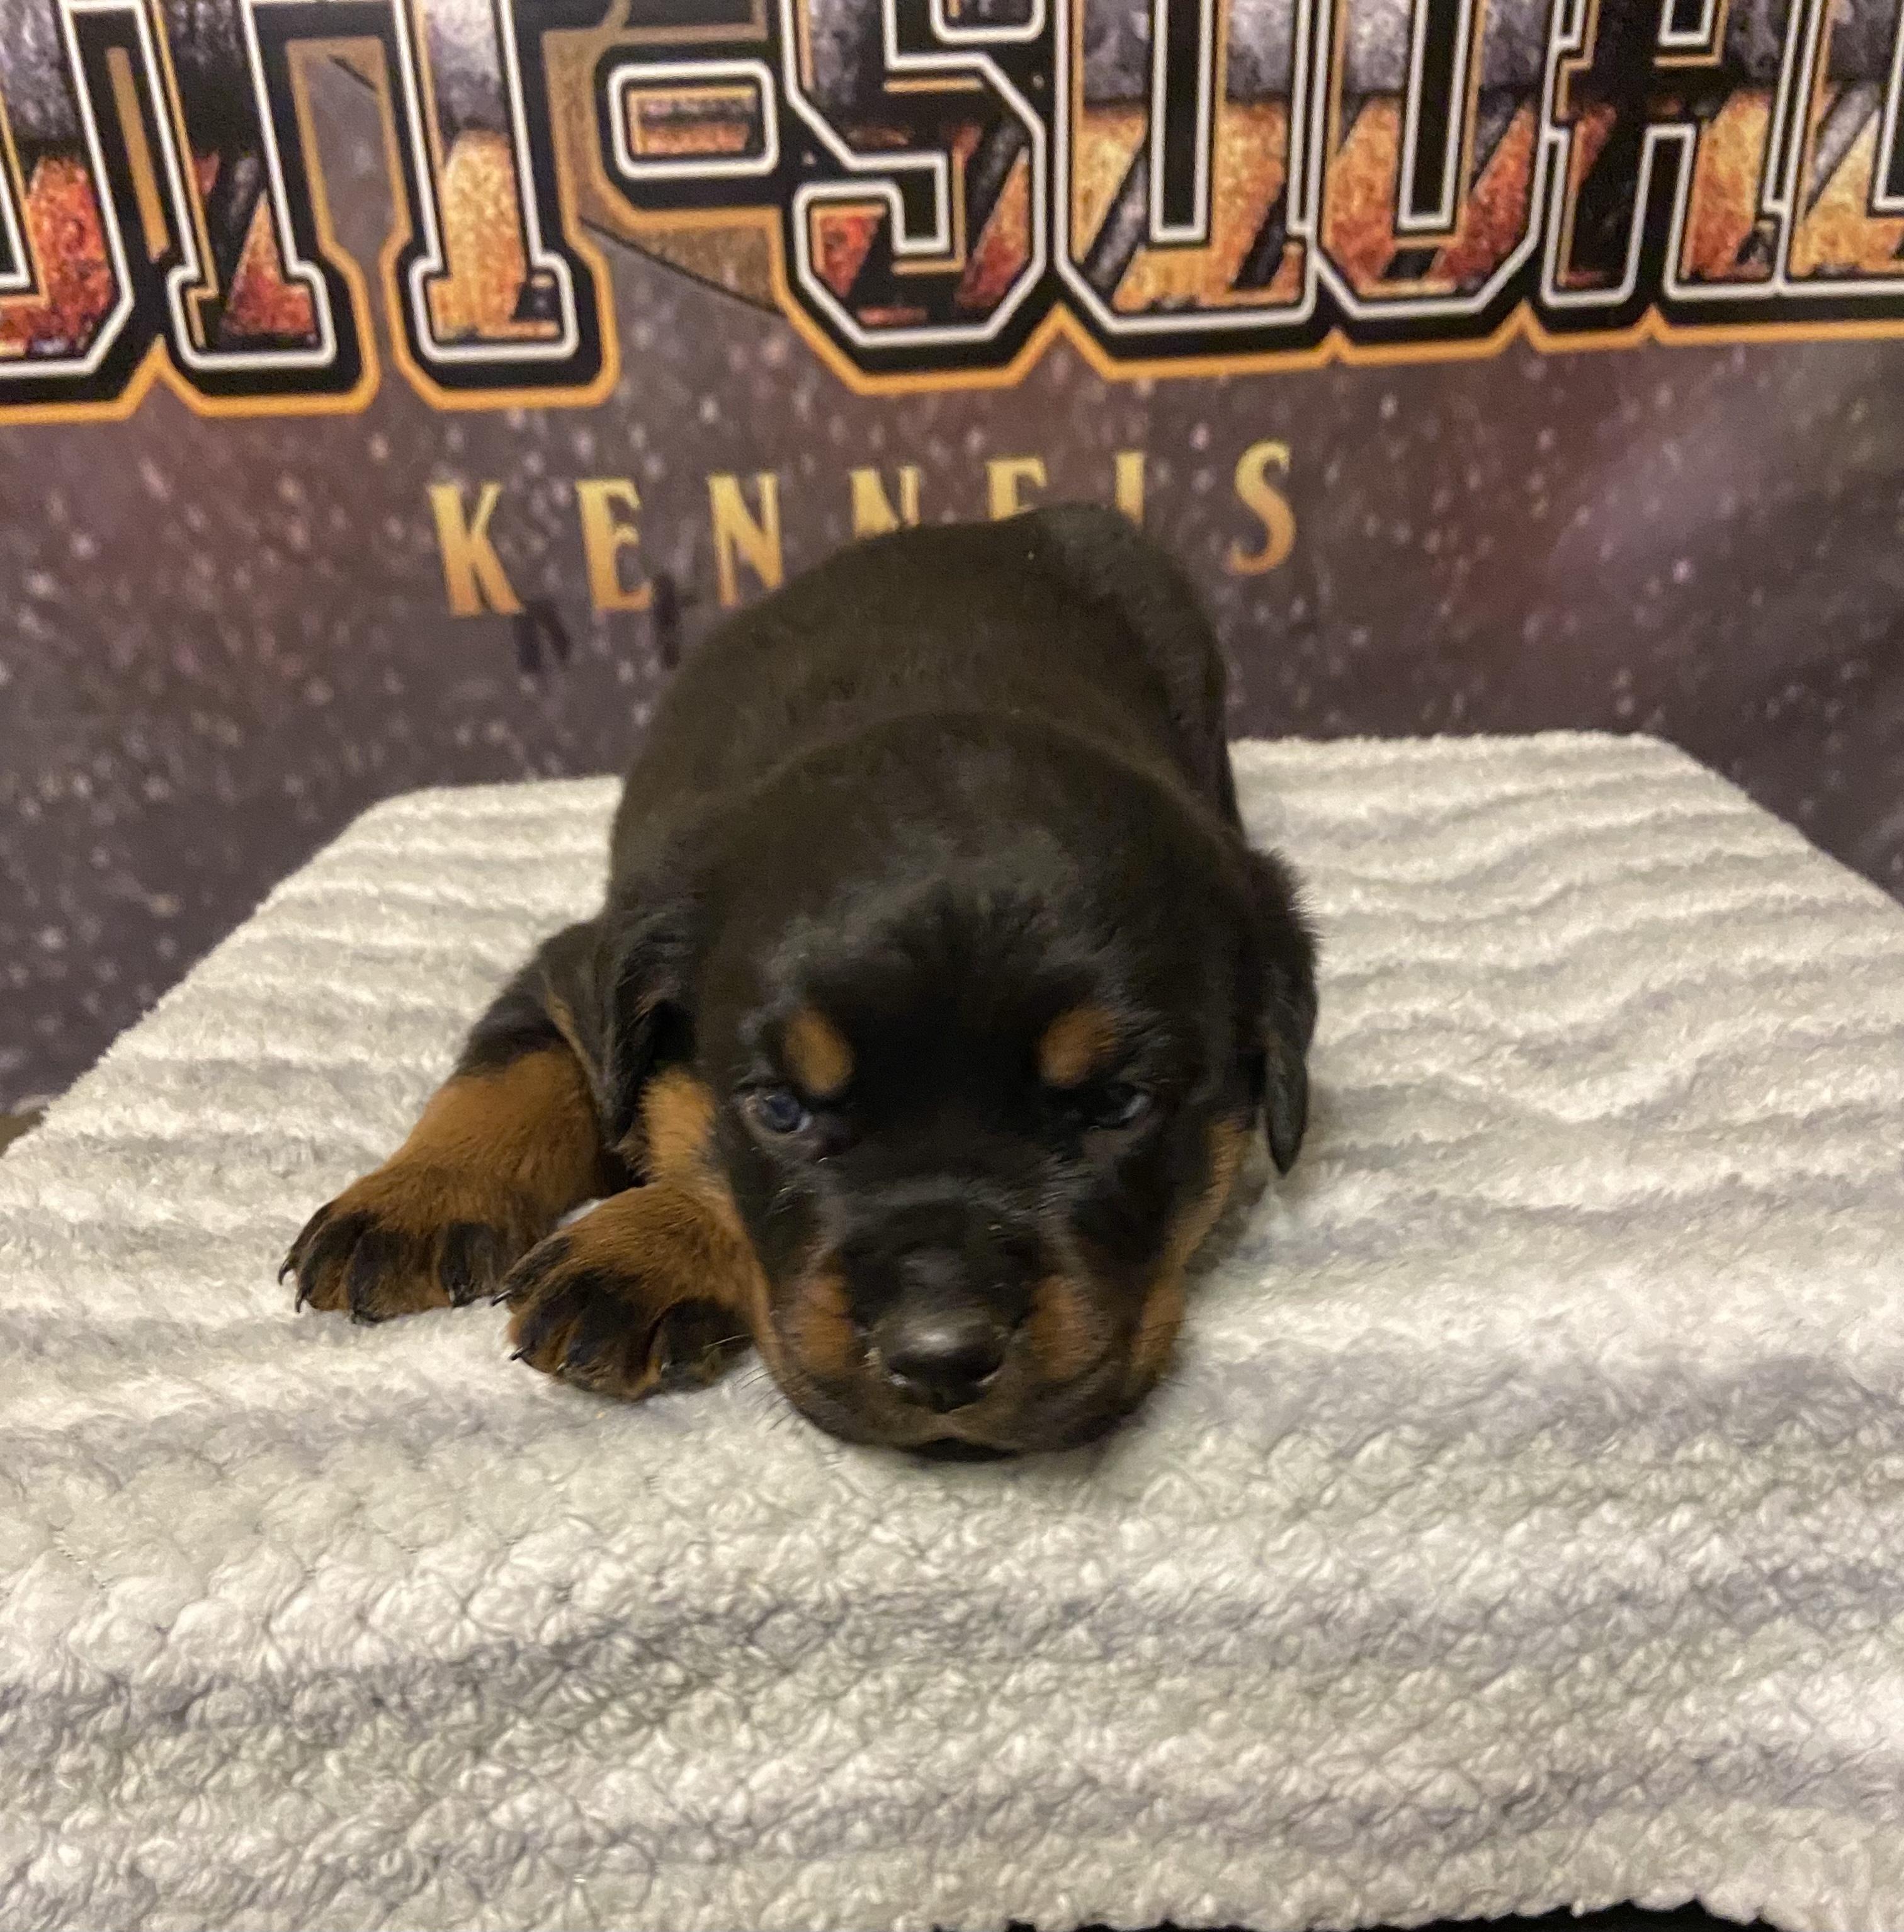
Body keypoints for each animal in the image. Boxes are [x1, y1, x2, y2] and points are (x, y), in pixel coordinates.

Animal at [283, 505, 1317, 1455]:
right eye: (781, 1110)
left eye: (1117, 1105)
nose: (940, 1357)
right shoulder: (573, 969)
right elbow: (523, 1074)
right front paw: (417, 1200)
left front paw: (641, 1249)